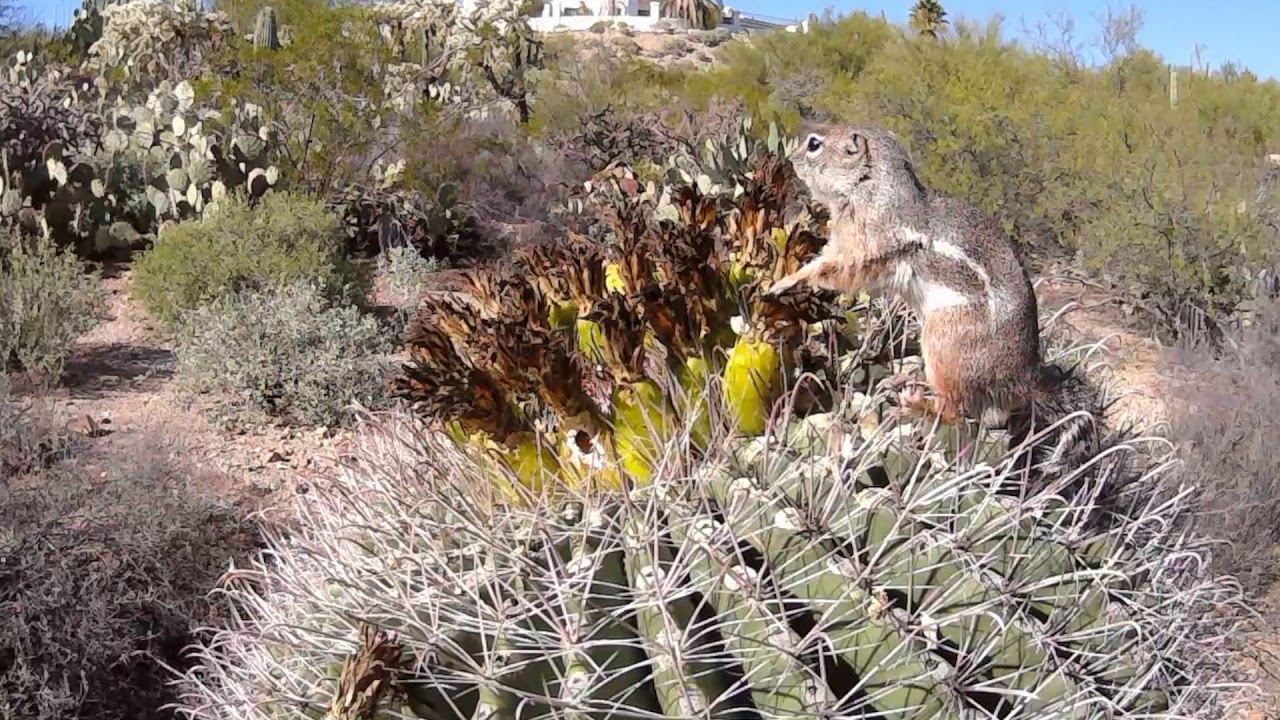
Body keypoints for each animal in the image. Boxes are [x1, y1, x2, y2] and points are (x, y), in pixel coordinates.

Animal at [767, 123, 1097, 473]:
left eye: (814, 145)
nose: (789, 160)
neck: (871, 185)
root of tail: (1024, 379)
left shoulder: (862, 247)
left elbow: (831, 270)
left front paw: (785, 282)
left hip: (943, 341)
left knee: (955, 410)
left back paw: (913, 404)